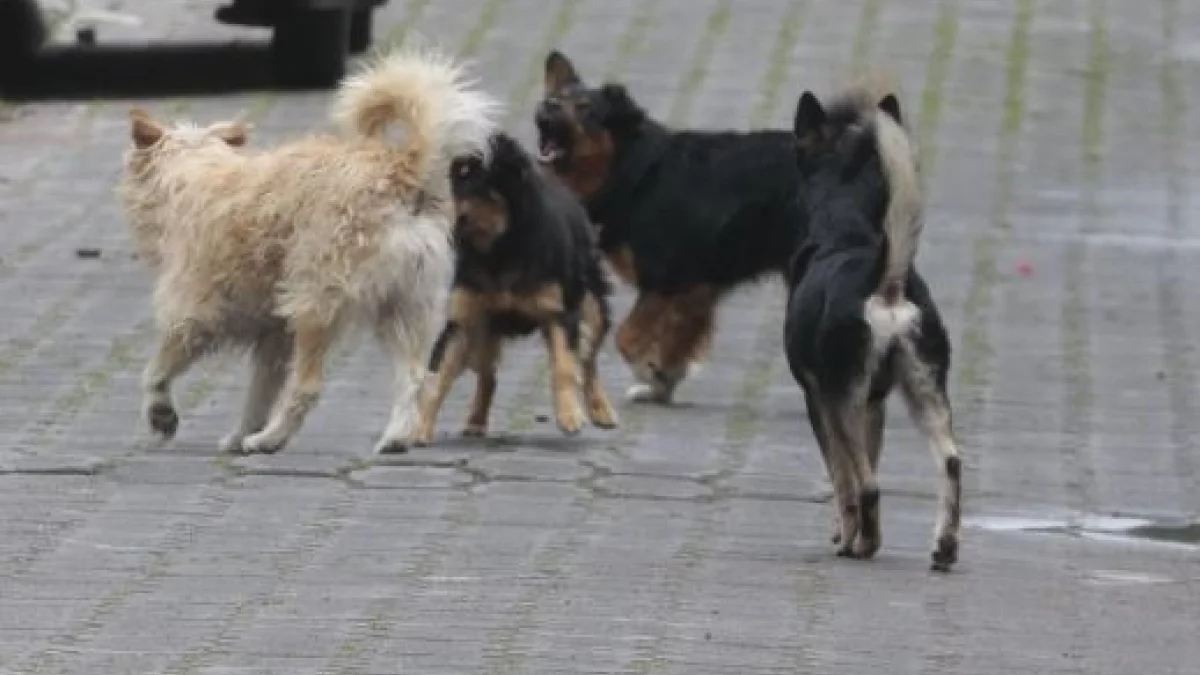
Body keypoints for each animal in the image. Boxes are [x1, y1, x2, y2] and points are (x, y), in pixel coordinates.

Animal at [410, 132, 619, 446]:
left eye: (467, 177)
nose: (417, 201)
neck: (499, 248)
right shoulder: (462, 317)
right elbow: (438, 377)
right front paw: (417, 430)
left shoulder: (560, 311)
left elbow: (565, 365)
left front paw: (570, 416)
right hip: (483, 330)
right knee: (488, 374)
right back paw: (475, 422)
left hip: (591, 303)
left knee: (588, 358)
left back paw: (601, 410)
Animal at [537, 51, 811, 403]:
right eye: (555, 97)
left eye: (585, 108)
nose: (548, 105)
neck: (631, 169)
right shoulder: (696, 287)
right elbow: (677, 339)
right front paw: (661, 380)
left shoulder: (666, 278)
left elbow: (627, 336)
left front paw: (648, 371)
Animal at [782, 84, 960, 566]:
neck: (845, 228)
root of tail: (886, 281)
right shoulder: (874, 403)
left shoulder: (821, 401)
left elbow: (841, 479)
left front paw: (845, 533)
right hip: (926, 390)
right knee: (951, 462)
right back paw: (944, 546)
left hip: (845, 399)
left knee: (867, 483)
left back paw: (863, 545)